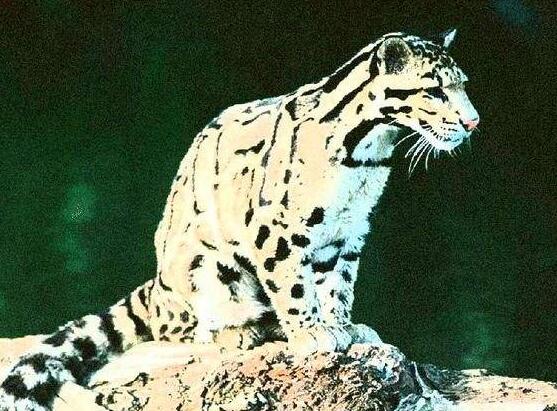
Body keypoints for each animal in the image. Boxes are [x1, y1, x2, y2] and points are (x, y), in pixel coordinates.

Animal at [0, 29, 479, 410]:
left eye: (463, 86)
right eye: (435, 91)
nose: (472, 122)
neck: (366, 154)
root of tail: (155, 287)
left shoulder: (350, 230)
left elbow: (338, 285)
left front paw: (343, 325)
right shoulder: (278, 228)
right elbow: (295, 286)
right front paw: (312, 332)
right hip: (204, 268)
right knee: (186, 330)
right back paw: (240, 332)